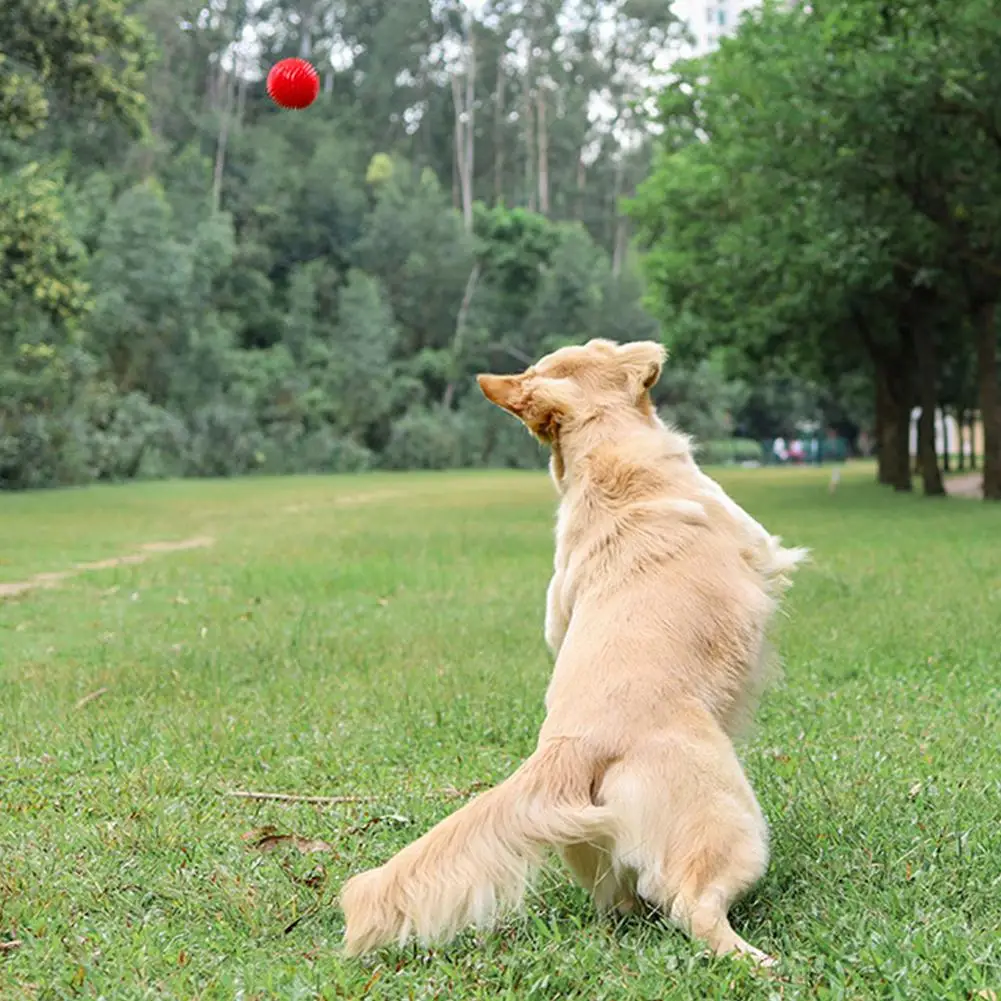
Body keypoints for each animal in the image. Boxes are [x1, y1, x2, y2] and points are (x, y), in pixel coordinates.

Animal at [338, 340, 804, 964]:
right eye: (604, 348)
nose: (654, 347)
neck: (602, 454)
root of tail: (568, 750)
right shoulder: (753, 537)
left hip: (594, 849)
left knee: (628, 902)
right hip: (731, 818)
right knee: (692, 906)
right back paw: (761, 962)